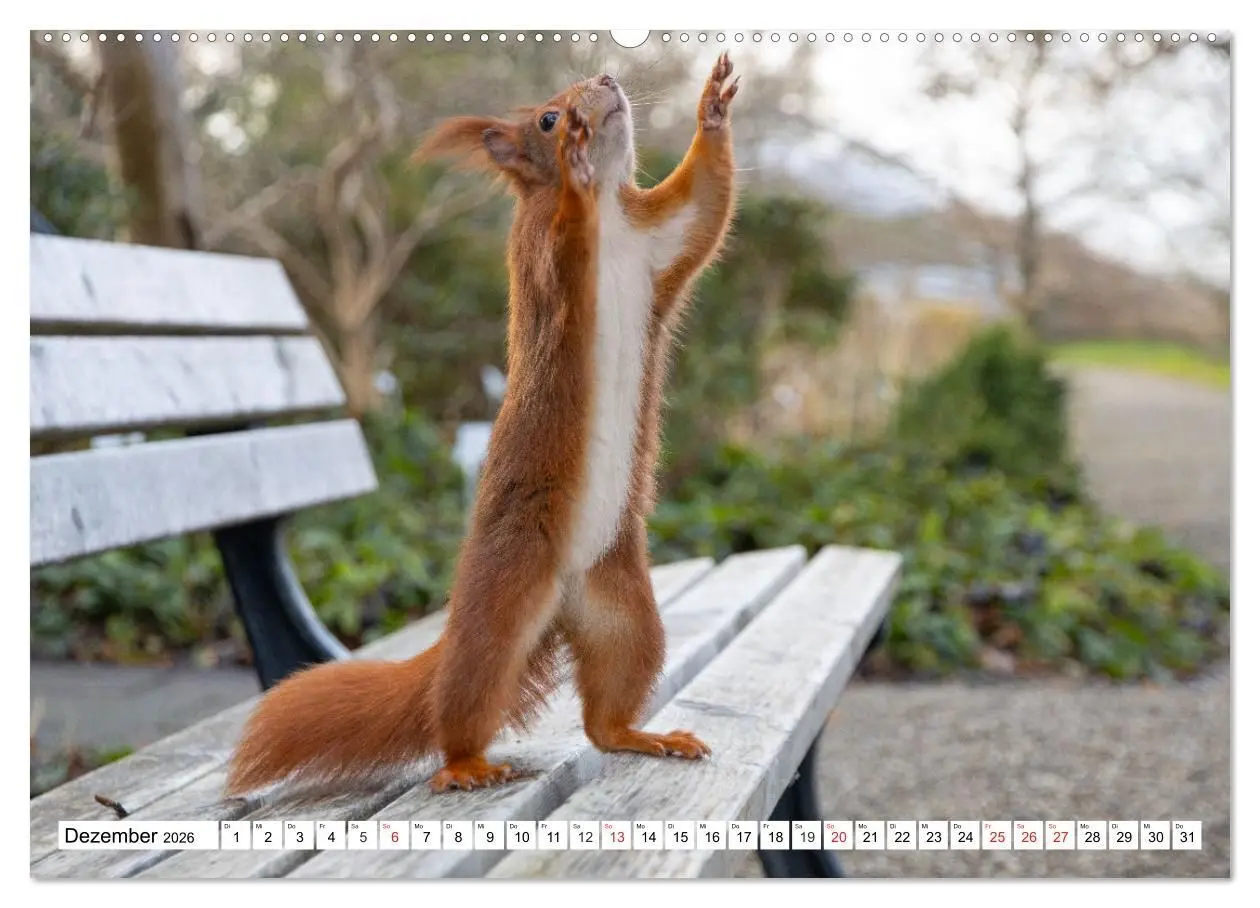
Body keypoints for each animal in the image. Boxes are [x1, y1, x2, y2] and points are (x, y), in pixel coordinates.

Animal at [225, 53, 740, 796]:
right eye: (548, 118)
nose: (604, 84)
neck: (613, 218)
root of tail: (563, 601)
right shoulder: (541, 258)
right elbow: (566, 248)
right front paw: (575, 171)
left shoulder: (659, 240)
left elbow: (705, 201)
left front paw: (713, 107)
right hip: (502, 606)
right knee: (465, 699)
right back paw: (464, 764)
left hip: (625, 614)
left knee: (603, 719)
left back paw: (642, 734)